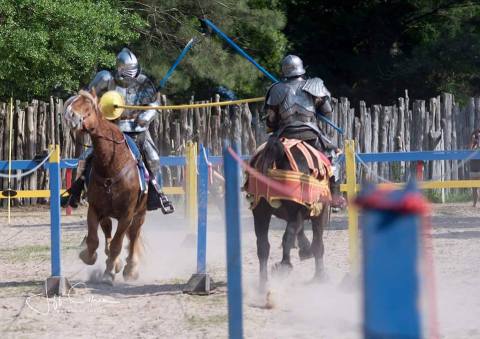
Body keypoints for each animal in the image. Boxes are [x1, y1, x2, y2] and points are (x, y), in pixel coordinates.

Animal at [63, 89, 146, 284]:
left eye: (88, 105)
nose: (70, 115)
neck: (111, 165)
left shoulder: (127, 215)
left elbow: (117, 244)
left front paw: (109, 273)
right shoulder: (94, 210)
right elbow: (94, 240)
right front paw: (88, 256)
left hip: (139, 214)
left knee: (133, 237)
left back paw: (130, 268)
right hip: (107, 214)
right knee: (108, 230)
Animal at [248, 138, 330, 290]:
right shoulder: (319, 212)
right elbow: (317, 242)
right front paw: (320, 275)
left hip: (261, 212)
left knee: (263, 245)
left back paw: (264, 282)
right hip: (296, 210)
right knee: (289, 234)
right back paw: (284, 266)